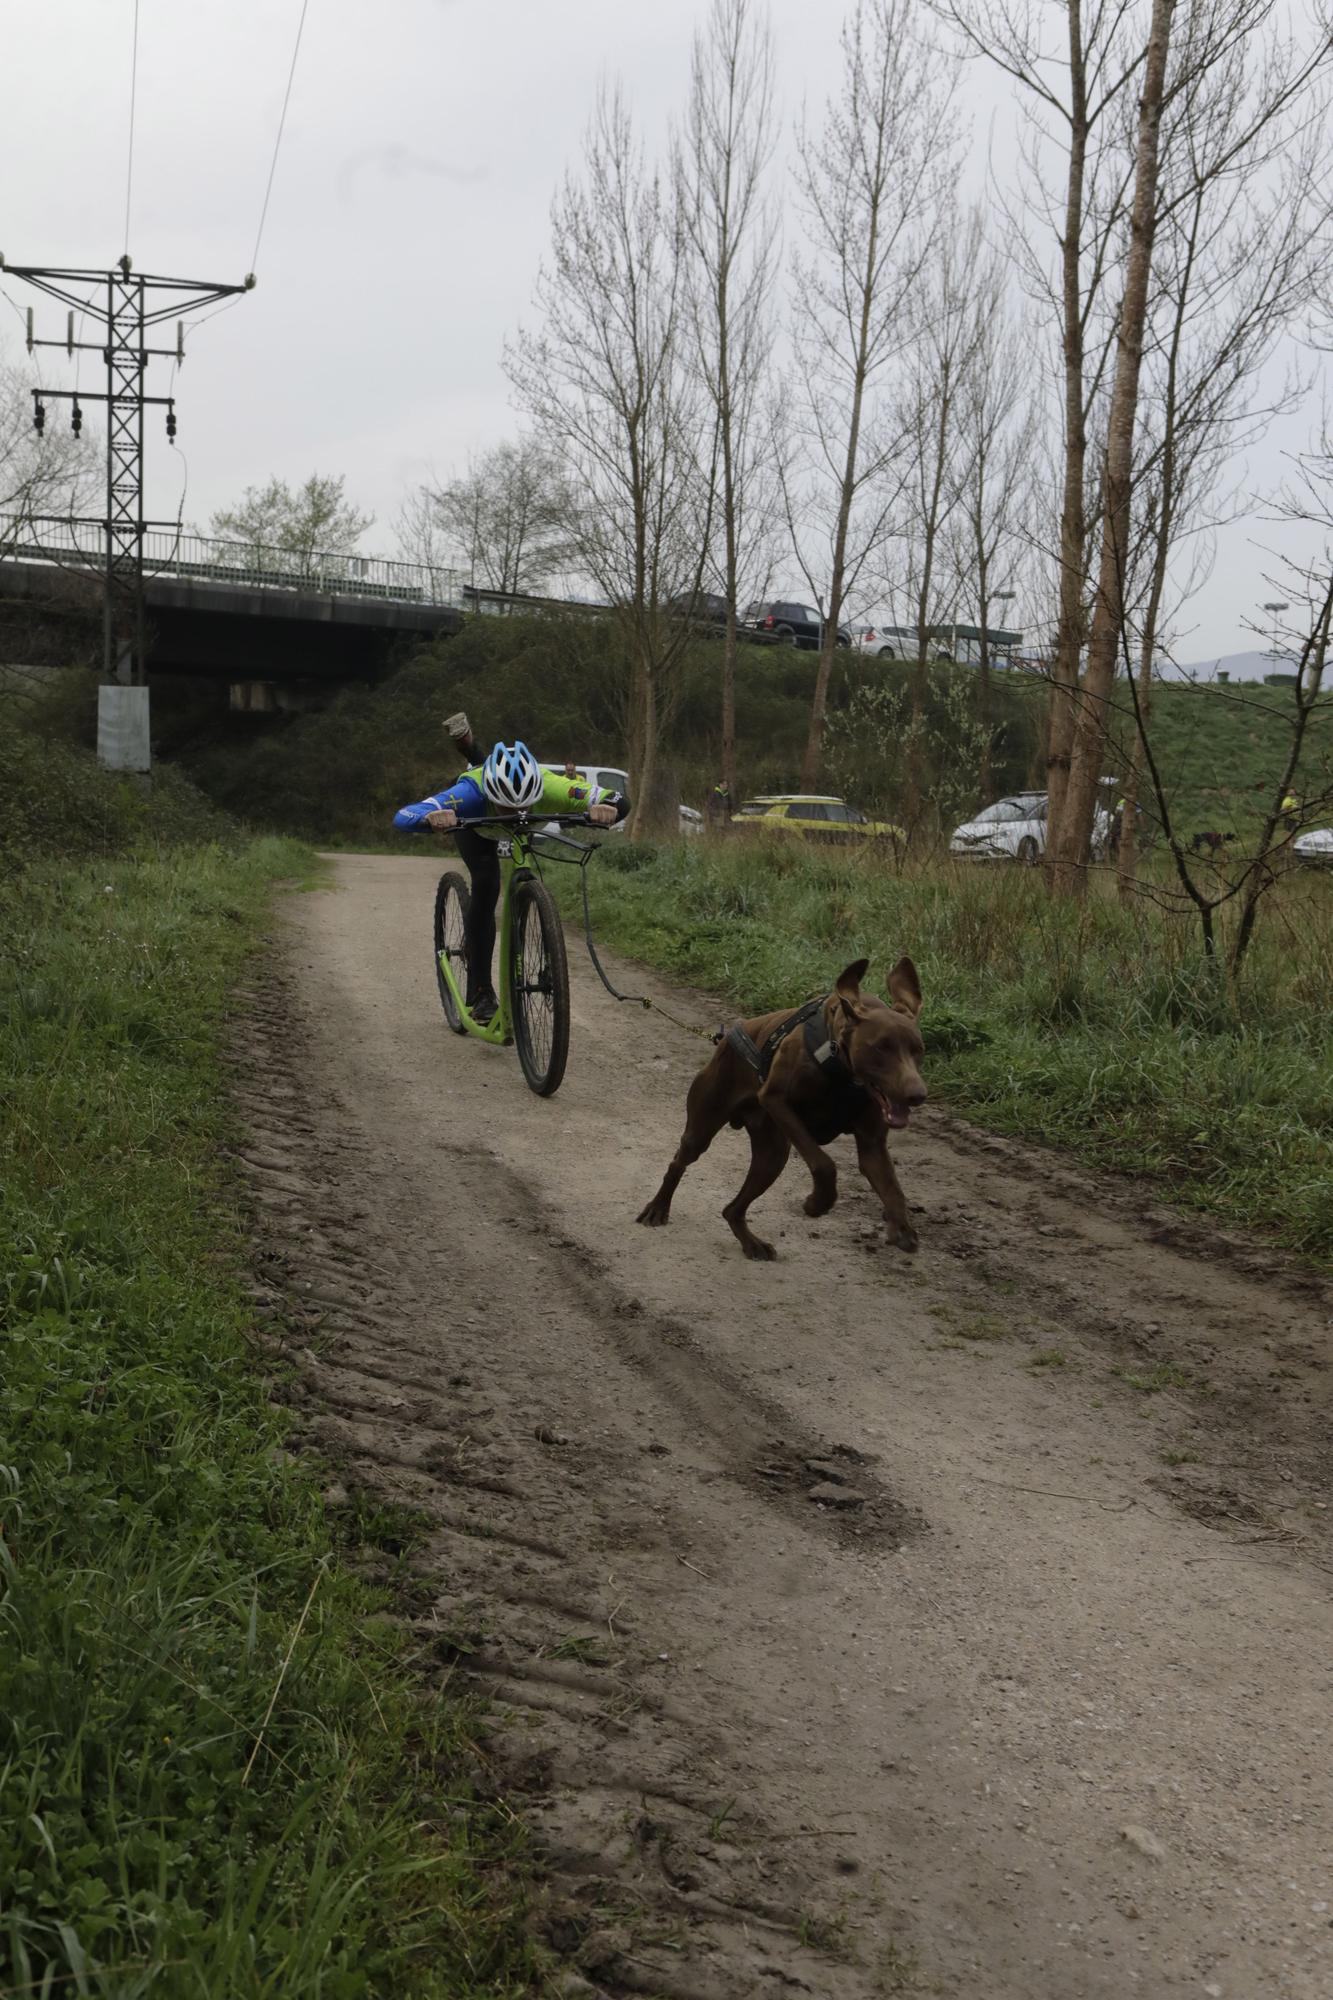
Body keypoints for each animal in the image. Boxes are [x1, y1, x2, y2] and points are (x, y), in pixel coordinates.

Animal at [632, 960, 924, 1256]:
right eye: (880, 1048)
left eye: (918, 1050)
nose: (917, 1095)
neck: (839, 1067)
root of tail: (724, 1040)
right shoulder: (776, 1100)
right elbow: (824, 1164)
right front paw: (817, 1202)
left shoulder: (872, 1144)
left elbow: (893, 1188)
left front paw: (901, 1227)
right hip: (703, 1126)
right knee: (678, 1162)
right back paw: (658, 1208)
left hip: (771, 1155)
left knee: (732, 1209)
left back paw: (751, 1243)